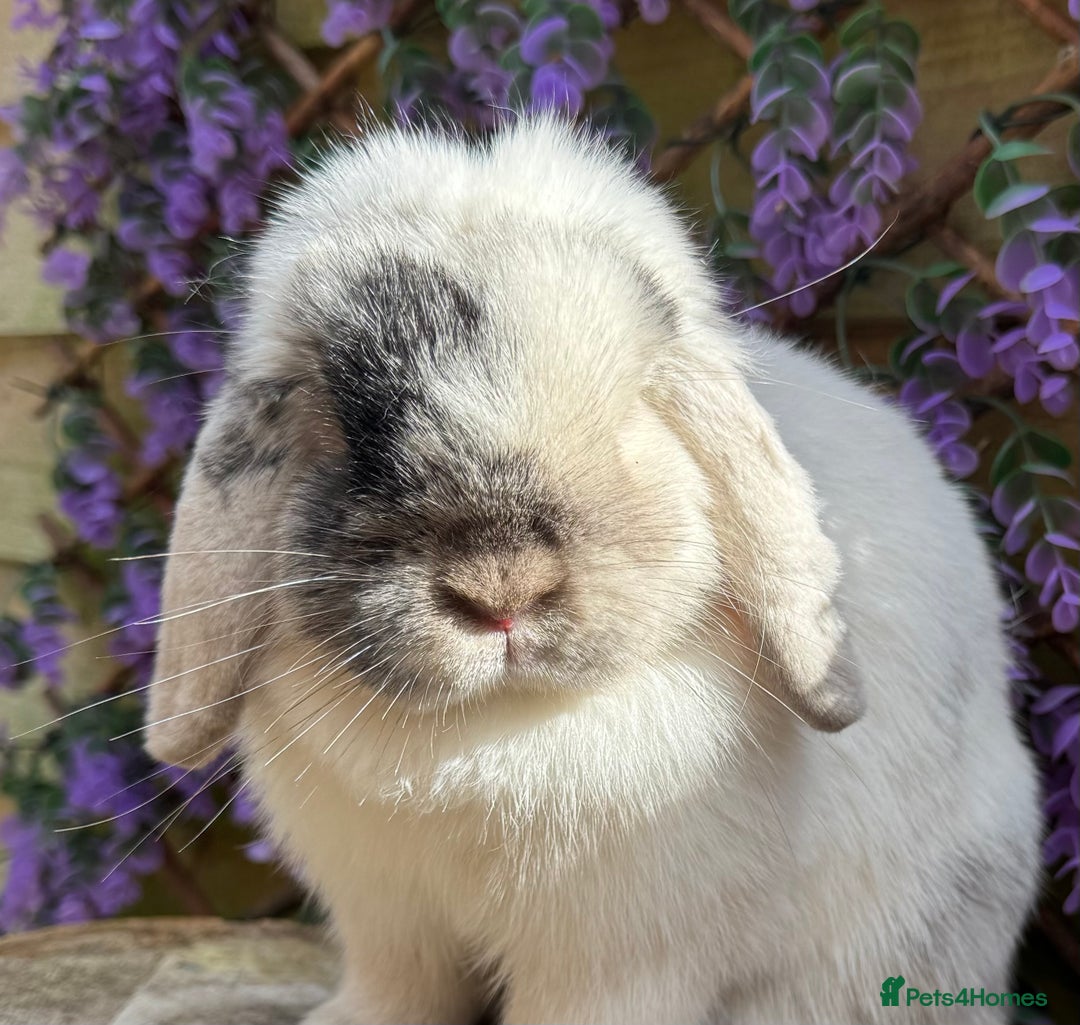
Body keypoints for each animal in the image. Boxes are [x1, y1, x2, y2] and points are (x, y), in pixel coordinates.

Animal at [143, 117, 1042, 1025]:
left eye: (630, 410)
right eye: (330, 423)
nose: (501, 588)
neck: (497, 730)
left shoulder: (620, 959)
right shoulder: (391, 922)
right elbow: (398, 989)